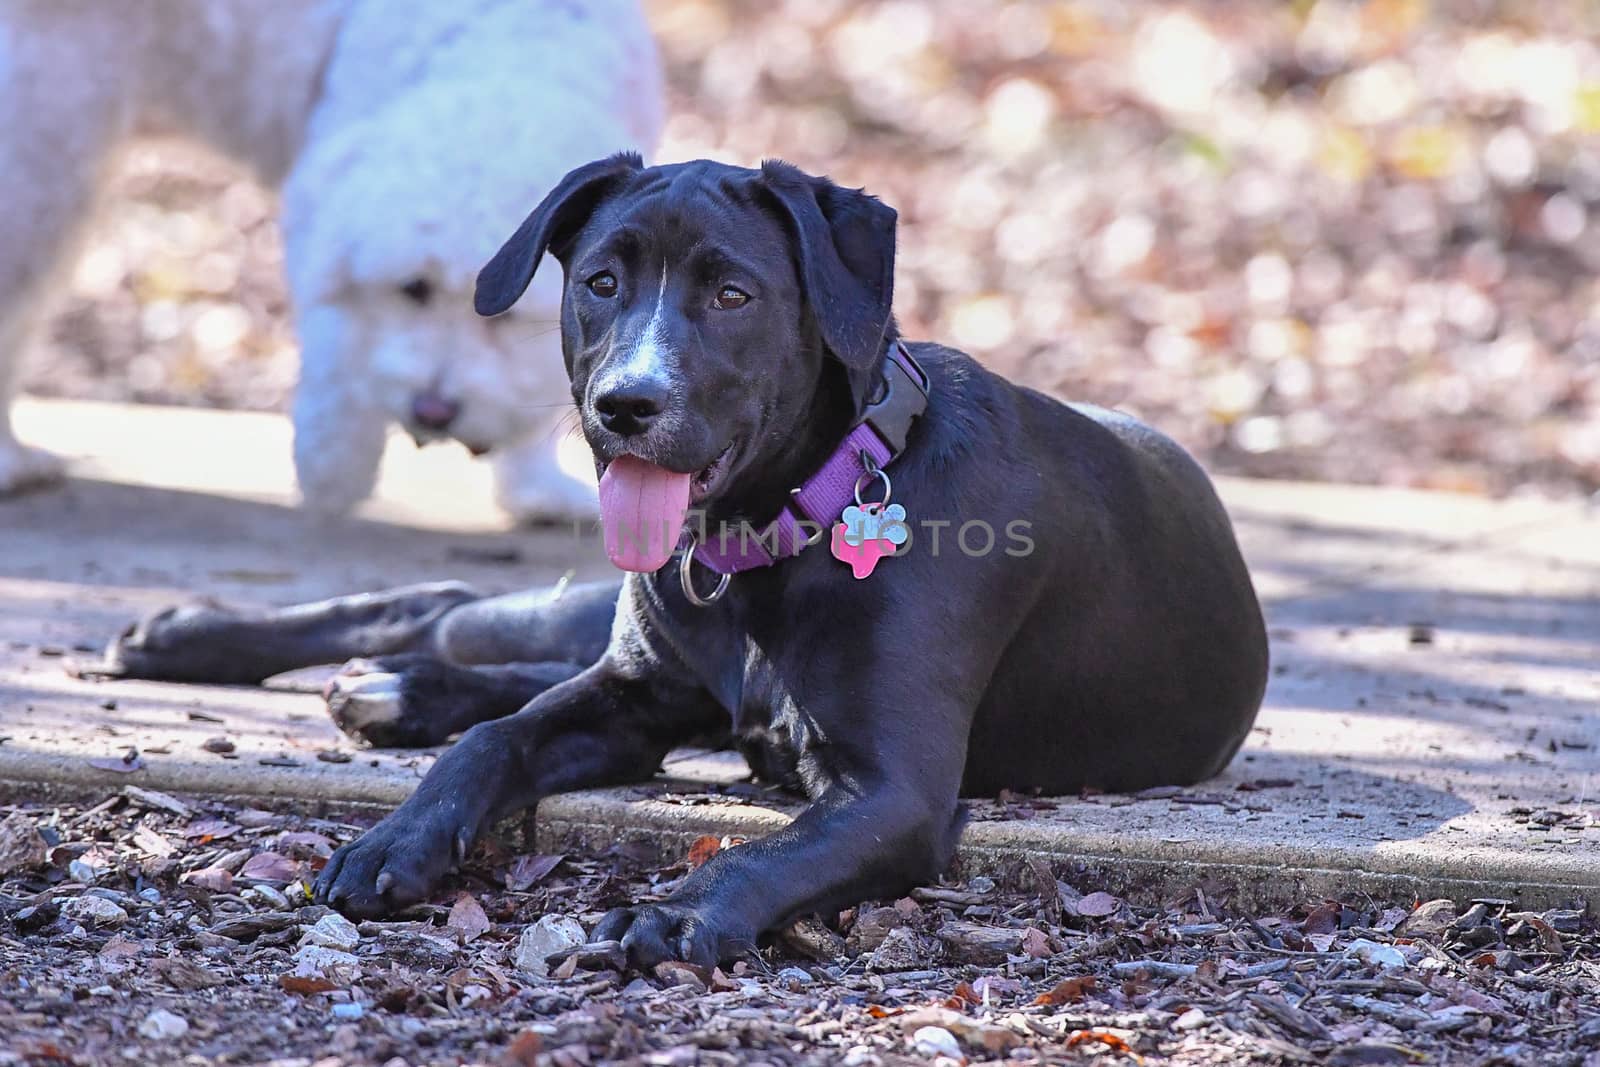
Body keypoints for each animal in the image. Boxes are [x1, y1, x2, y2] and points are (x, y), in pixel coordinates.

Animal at [0, 0, 662, 521]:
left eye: (501, 319)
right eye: (413, 288)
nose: (433, 409)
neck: (499, 52)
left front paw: (537, 486)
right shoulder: (325, 208)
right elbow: (337, 345)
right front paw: (333, 466)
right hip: (41, 151)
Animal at [106, 156, 1267, 966]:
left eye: (732, 295)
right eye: (602, 281)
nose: (627, 404)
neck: (769, 538)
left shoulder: (893, 788)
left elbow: (768, 848)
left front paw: (671, 913)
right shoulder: (631, 694)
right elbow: (493, 739)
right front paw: (399, 837)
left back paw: (384, 688)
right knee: (447, 607)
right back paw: (199, 637)